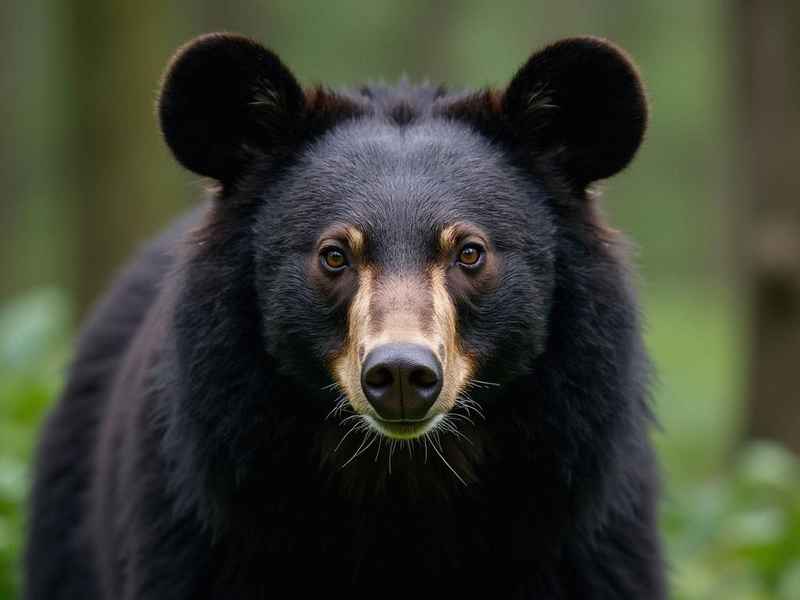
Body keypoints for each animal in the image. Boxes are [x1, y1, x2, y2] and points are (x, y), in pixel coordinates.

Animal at [25, 33, 665, 599]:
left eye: (469, 252)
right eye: (334, 255)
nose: (402, 375)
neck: (401, 478)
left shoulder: (581, 521)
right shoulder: (205, 513)